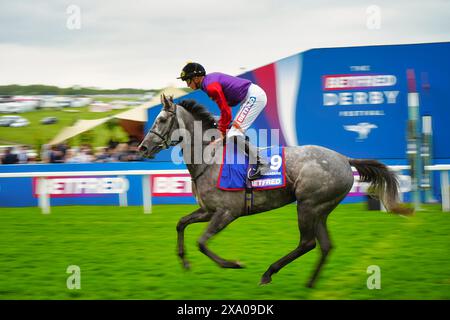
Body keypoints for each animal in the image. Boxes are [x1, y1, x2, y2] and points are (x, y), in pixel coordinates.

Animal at [139, 94, 414, 288]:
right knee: (325, 246)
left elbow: (202, 242)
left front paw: (233, 264)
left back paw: (269, 273)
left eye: (161, 120)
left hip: (308, 204)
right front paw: (184, 261)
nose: (142, 148)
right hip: (321, 209)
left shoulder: (227, 212)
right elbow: (181, 224)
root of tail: (345, 159)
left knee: (307, 243)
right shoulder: (208, 210)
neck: (209, 159)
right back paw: (310, 283)